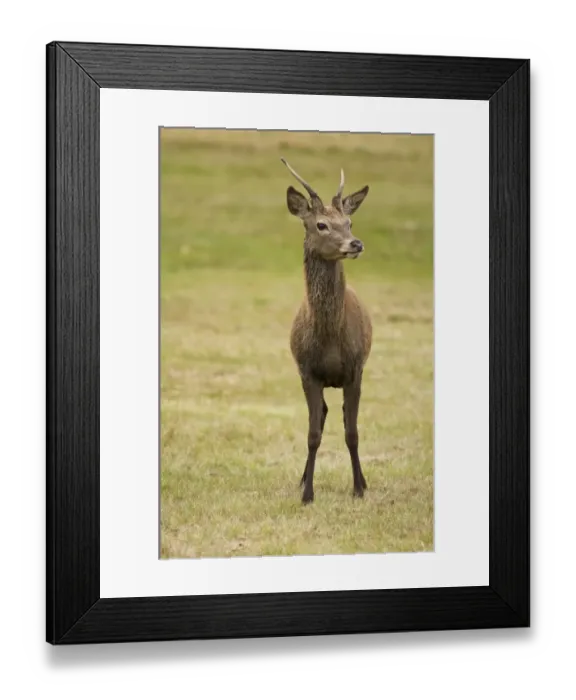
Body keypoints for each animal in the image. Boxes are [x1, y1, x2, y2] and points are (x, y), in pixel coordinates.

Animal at [281, 158, 372, 504]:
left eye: (348, 221)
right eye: (321, 224)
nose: (355, 243)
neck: (332, 339)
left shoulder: (356, 368)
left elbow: (352, 432)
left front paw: (359, 488)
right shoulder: (307, 371)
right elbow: (313, 433)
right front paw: (307, 493)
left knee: (344, 415)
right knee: (322, 414)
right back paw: (302, 479)